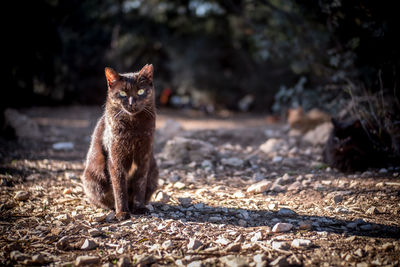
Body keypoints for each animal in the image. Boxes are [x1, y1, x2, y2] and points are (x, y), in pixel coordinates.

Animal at [82, 64, 159, 220]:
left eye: (141, 91)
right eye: (122, 93)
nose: (132, 103)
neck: (133, 126)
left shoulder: (144, 157)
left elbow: (140, 184)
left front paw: (139, 208)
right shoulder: (115, 158)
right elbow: (119, 186)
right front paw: (122, 212)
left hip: (154, 173)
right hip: (93, 180)